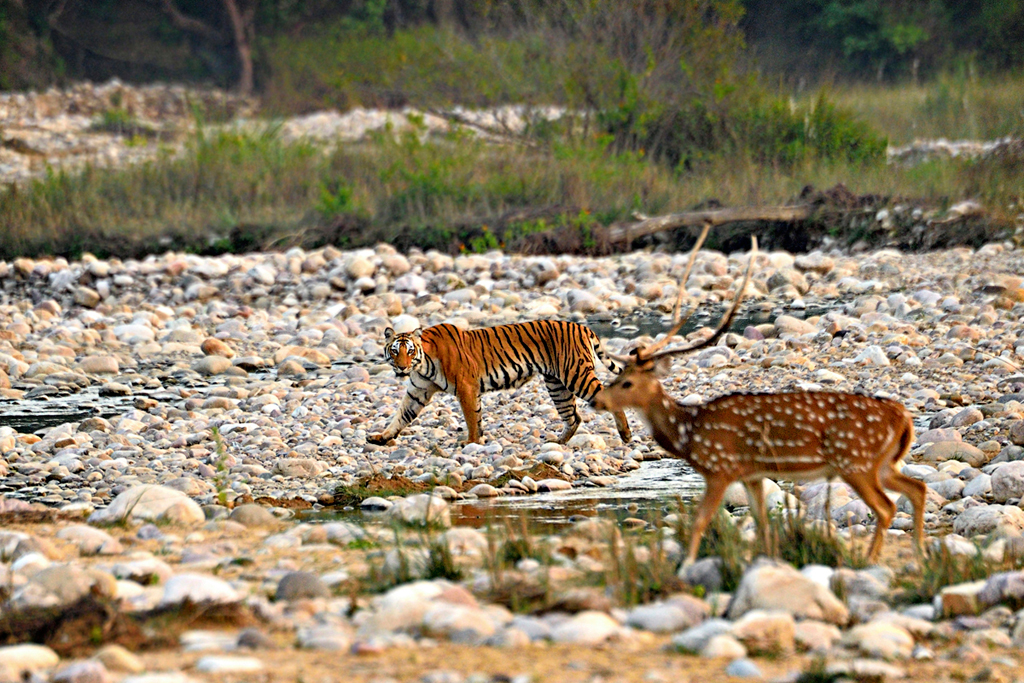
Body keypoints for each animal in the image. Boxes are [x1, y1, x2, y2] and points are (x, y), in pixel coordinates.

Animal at [364, 321, 626, 448]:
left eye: (409, 351)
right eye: (395, 351)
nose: (402, 367)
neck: (423, 364)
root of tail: (583, 326)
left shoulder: (466, 387)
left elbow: (471, 417)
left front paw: (470, 443)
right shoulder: (418, 391)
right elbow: (401, 416)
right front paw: (381, 437)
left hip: (575, 374)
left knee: (606, 396)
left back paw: (626, 435)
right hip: (557, 384)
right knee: (573, 416)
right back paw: (557, 443)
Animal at [589, 239, 925, 565]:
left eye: (627, 382)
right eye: (619, 375)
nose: (596, 400)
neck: (689, 433)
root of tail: (903, 417)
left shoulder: (721, 467)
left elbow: (700, 521)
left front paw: (686, 566)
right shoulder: (752, 474)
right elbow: (763, 523)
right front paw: (768, 560)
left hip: (855, 460)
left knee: (886, 507)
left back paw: (871, 560)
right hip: (883, 462)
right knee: (917, 488)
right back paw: (919, 556)